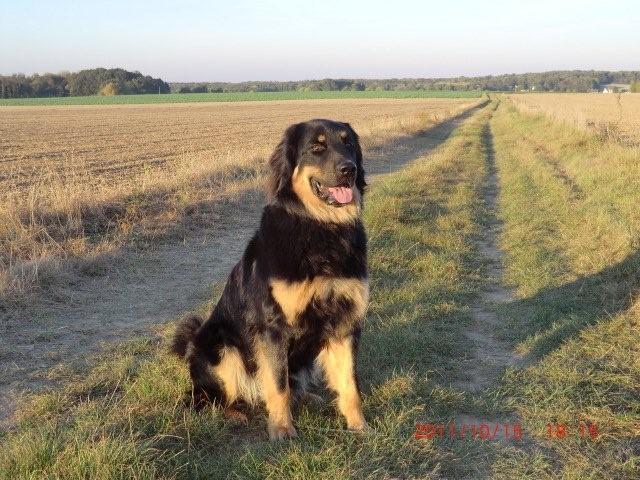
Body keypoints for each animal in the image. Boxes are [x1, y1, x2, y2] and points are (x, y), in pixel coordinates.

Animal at [172, 119, 368, 440]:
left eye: (348, 143)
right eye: (317, 147)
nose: (348, 169)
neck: (320, 227)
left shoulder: (345, 321)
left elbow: (350, 384)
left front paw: (359, 426)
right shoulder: (273, 327)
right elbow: (277, 385)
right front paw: (282, 430)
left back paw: (308, 397)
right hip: (222, 348)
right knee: (206, 400)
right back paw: (234, 414)